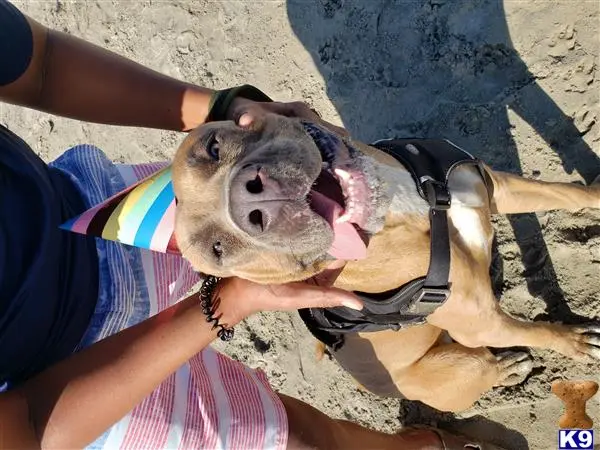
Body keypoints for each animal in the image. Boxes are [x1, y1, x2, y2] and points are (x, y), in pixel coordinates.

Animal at [172, 112, 600, 412]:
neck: (411, 208)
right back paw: (508, 368)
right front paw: (576, 340)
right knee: (485, 365)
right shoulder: (484, 324)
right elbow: (539, 331)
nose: (250, 201)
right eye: (218, 249)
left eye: (212, 146)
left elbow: (565, 193)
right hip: (463, 362)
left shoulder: (496, 186)